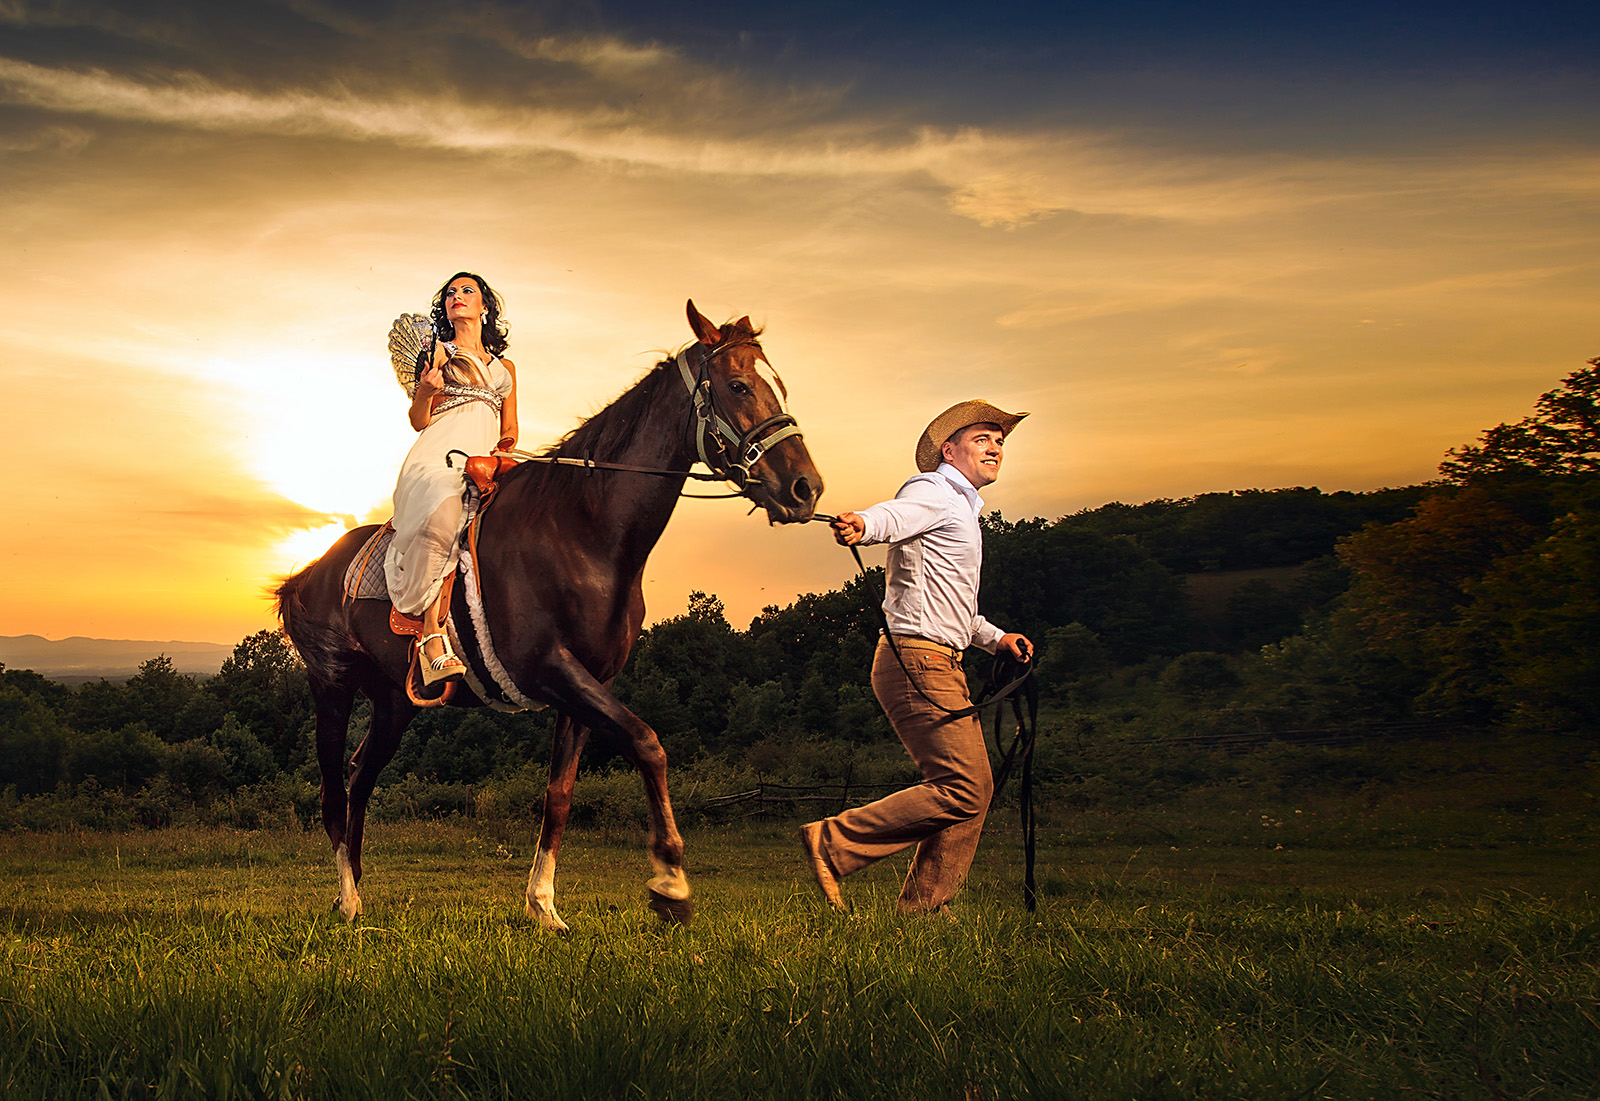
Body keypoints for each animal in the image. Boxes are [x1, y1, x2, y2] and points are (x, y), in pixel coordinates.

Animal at [275, 300, 819, 928]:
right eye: (738, 385)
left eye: (780, 385)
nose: (806, 487)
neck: (581, 530)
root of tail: (311, 573)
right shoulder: (552, 670)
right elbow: (648, 742)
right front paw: (671, 883)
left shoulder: (587, 685)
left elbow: (559, 795)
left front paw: (542, 905)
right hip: (333, 687)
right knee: (333, 792)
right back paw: (346, 900)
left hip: (394, 700)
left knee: (360, 779)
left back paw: (357, 893)